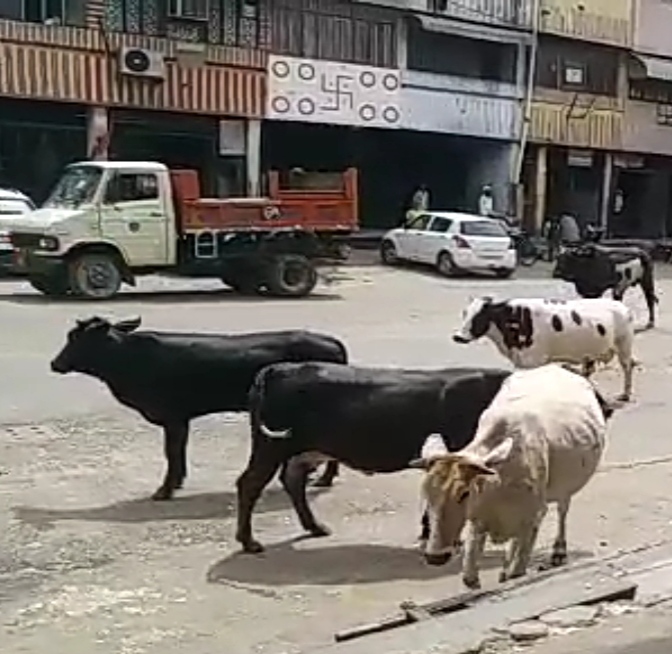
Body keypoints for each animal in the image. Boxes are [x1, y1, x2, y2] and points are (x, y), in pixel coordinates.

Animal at [50, 318, 350, 502]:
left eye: (78, 339)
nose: (55, 364)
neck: (127, 359)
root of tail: (332, 341)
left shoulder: (173, 416)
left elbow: (171, 452)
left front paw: (165, 489)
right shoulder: (179, 419)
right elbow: (177, 452)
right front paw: (176, 483)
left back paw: (324, 478)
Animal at [236, 364, 510, 552]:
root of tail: (277, 369)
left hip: (304, 450)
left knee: (292, 479)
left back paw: (315, 527)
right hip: (270, 446)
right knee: (250, 483)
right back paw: (249, 542)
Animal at [410, 366, 608, 592]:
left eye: (465, 493)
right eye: (427, 494)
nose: (435, 556)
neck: (499, 485)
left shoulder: (533, 517)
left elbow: (518, 571)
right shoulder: (478, 523)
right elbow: (470, 578)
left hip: (564, 489)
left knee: (562, 509)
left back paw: (558, 551)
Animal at [452, 296, 636, 400]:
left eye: (480, 316)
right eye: (464, 313)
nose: (458, 337)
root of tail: (622, 306)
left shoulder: (534, 360)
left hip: (624, 345)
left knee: (627, 366)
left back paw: (625, 394)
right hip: (591, 352)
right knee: (589, 370)